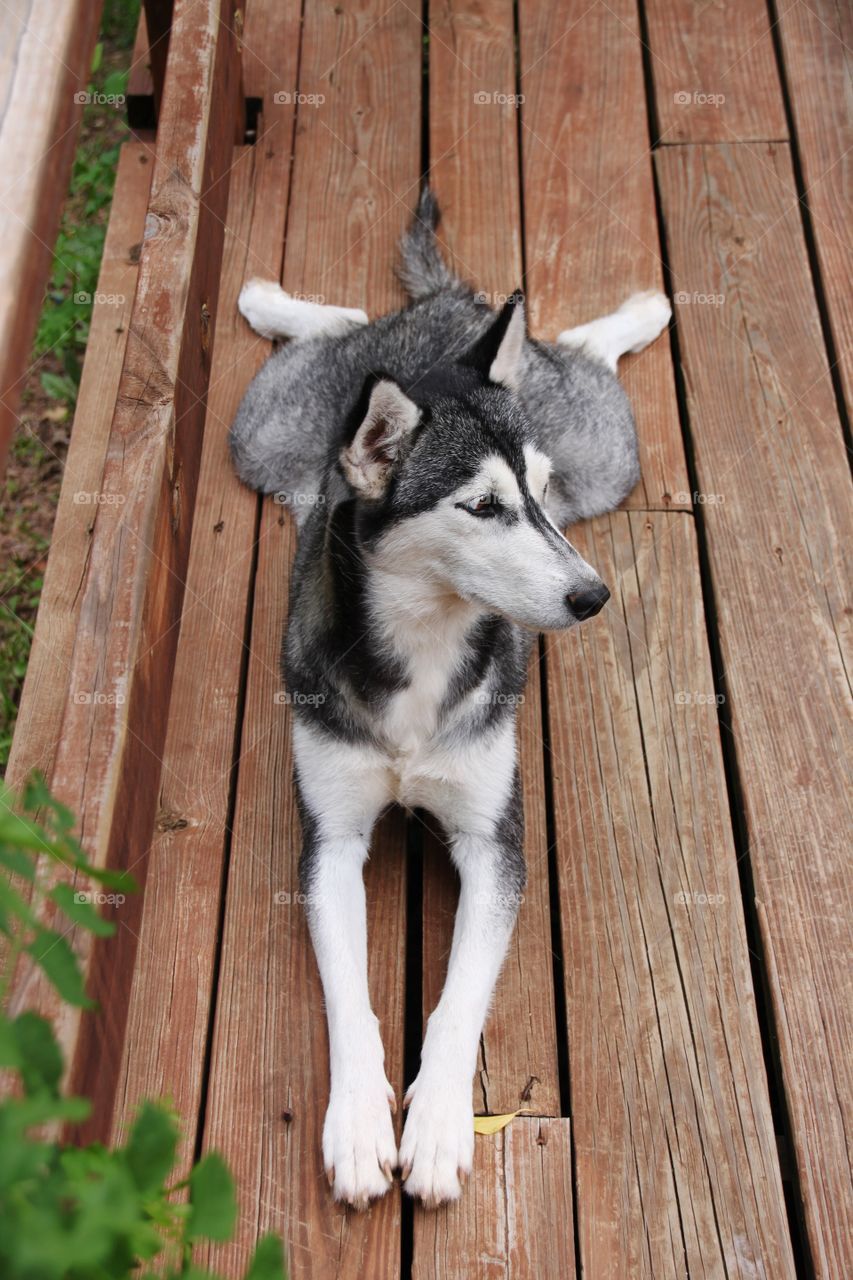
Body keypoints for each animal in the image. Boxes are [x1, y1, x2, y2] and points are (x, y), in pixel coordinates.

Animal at [229, 189, 666, 1208]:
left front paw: (432, 1125)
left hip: (604, 457)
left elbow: (460, 995)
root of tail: (449, 314)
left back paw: (634, 314)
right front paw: (357, 1122)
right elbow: (349, 998)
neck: (423, 642)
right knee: (346, 325)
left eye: (535, 493)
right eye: (480, 508)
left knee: (577, 350)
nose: (591, 597)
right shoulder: (331, 840)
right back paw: (274, 302)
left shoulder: (492, 842)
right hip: (262, 436)